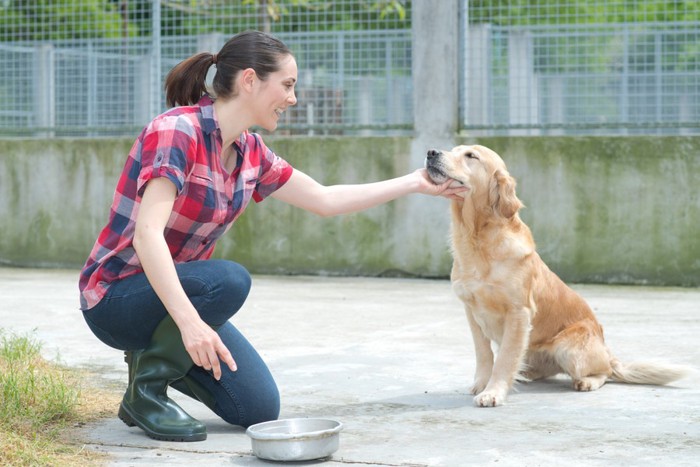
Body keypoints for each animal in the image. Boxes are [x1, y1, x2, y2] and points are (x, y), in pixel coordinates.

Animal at [426, 144, 688, 408]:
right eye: (453, 150)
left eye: (471, 156)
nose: (431, 153)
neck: (477, 238)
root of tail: (607, 350)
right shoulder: (472, 311)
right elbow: (484, 354)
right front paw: (482, 384)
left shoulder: (518, 312)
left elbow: (505, 359)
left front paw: (493, 392)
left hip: (567, 347)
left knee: (605, 372)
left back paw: (587, 381)